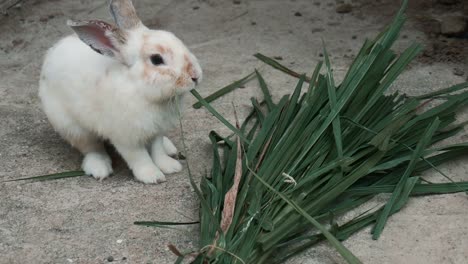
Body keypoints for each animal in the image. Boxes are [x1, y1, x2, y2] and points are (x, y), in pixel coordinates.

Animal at [38, 0, 201, 185]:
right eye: (156, 59)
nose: (195, 76)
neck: (142, 92)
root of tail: (53, 50)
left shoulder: (157, 131)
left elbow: (157, 150)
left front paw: (171, 167)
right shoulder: (126, 138)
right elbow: (140, 158)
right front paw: (152, 176)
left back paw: (170, 148)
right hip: (73, 127)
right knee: (92, 148)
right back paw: (99, 169)